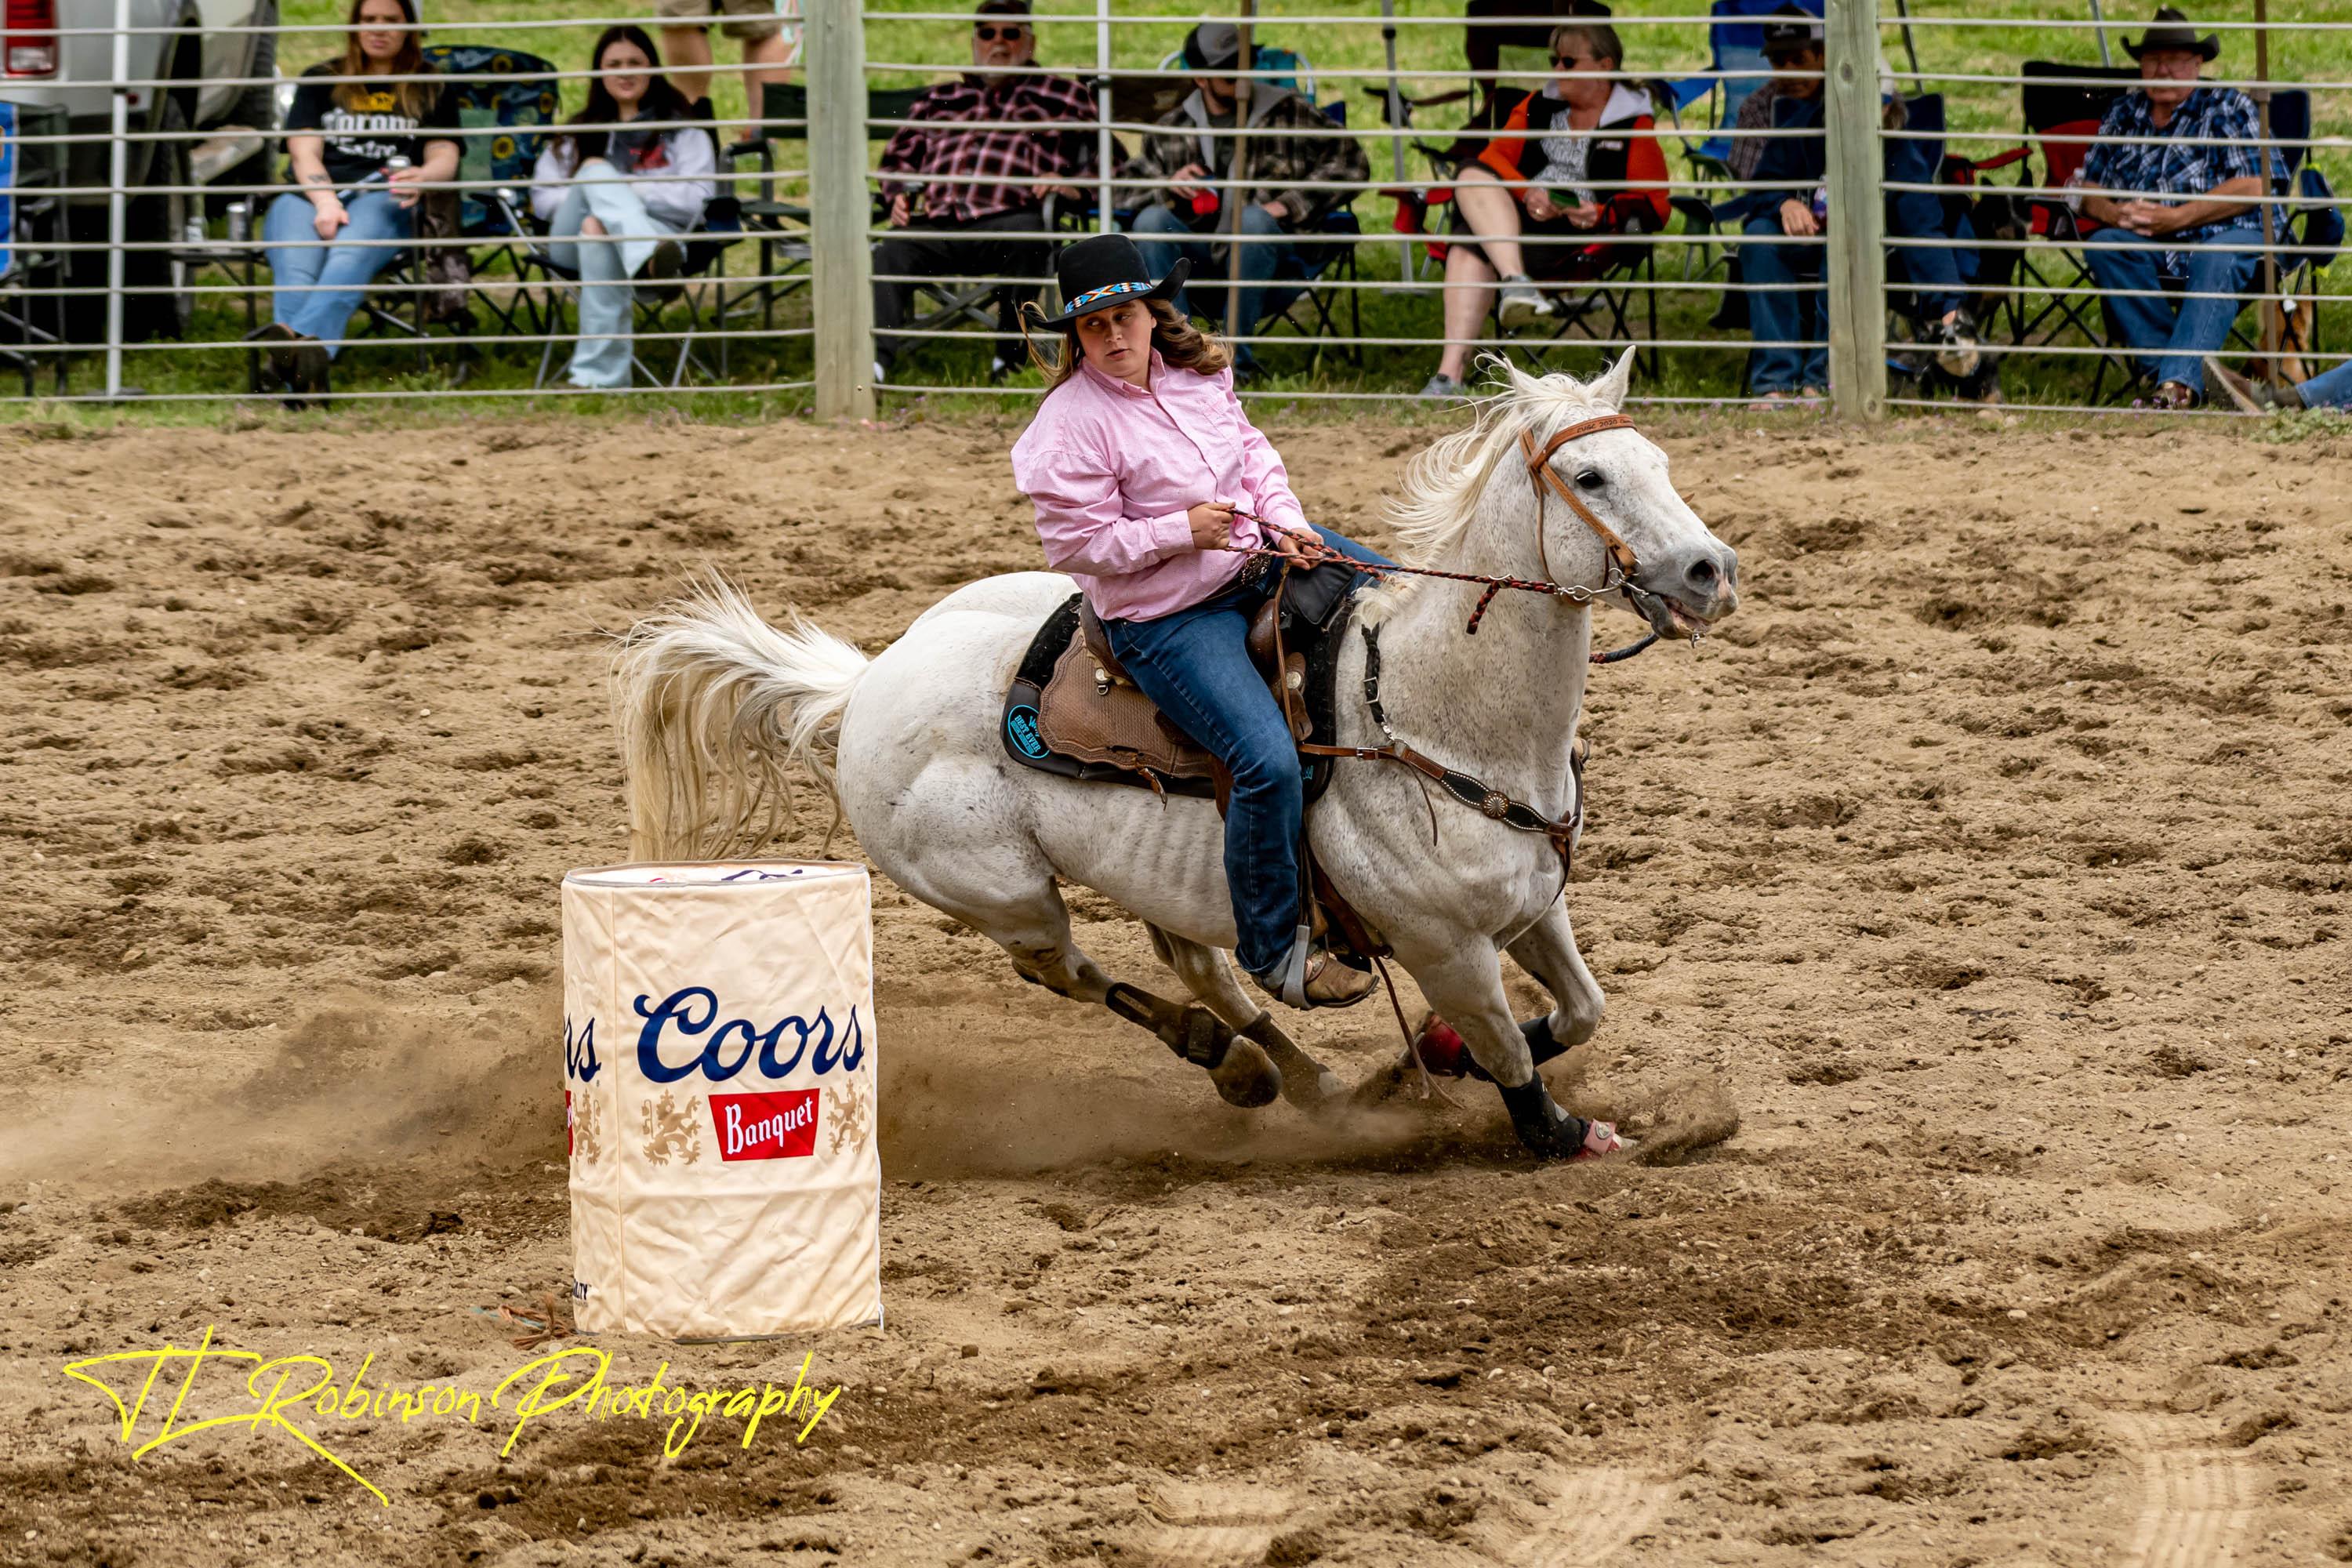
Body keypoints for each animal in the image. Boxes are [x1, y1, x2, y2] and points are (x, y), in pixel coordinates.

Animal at [612, 351, 1738, 1159]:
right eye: (1591, 474)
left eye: (1663, 465)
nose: (1710, 569)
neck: (1434, 715)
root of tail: (868, 680)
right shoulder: (1446, 948)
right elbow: (1516, 1062)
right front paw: (1546, 1119)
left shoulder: (1535, 906)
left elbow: (1581, 1012)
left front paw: (1427, 1058)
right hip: (1000, 890)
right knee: (1069, 969)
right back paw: (1232, 1065)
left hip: (1157, 869)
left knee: (1198, 962)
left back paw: (1303, 1076)